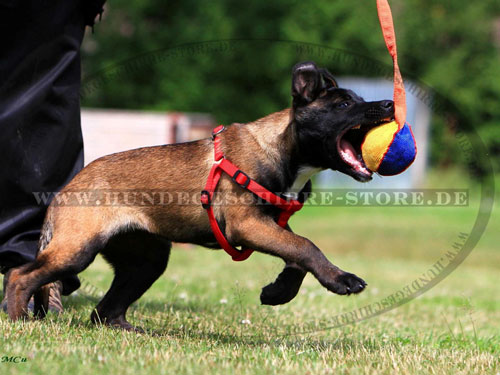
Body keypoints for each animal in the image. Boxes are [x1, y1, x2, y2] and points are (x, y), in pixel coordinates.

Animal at [4, 60, 394, 330]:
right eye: (343, 105)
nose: (390, 104)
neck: (282, 147)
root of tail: (67, 187)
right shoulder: (246, 224)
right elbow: (305, 246)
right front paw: (340, 280)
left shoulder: (269, 225)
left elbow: (296, 253)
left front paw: (278, 292)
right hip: (77, 248)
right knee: (20, 275)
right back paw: (20, 320)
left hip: (145, 260)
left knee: (104, 312)